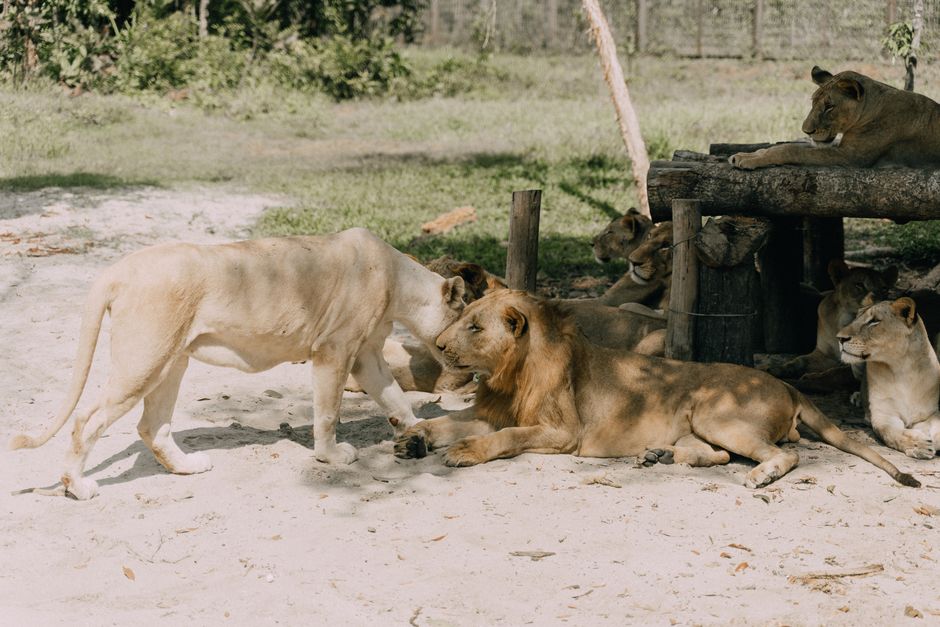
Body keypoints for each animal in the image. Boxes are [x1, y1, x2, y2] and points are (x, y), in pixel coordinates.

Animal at [10, 228, 466, 500]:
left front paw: (418, 430)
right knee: (87, 420)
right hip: (144, 360)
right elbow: (328, 412)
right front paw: (331, 456)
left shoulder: (366, 354)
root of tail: (115, 269)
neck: (399, 283)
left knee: (152, 426)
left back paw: (188, 468)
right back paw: (78, 486)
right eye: (468, 317)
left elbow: (395, 399)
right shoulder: (335, 350)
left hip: (171, 362)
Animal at [394, 290, 919, 489]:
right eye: (463, 317)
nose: (439, 344)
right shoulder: (495, 411)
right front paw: (411, 439)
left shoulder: (563, 433)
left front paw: (463, 452)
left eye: (475, 327)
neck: (511, 373)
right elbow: (448, 419)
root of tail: (790, 389)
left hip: (714, 411)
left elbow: (504, 438)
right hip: (701, 424)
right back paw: (659, 455)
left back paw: (760, 476)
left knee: (785, 455)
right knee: (719, 455)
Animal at [731, 65, 940, 169]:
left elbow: (791, 150)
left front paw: (748, 161)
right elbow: (784, 145)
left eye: (829, 107)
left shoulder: (850, 157)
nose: (806, 130)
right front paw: (745, 155)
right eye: (813, 102)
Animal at [766, 260, 897, 379]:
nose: (881, 304)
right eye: (859, 285)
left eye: (884, 288)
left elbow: (836, 373)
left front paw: (810, 378)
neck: (845, 322)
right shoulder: (825, 355)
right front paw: (776, 369)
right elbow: (800, 360)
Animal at [838, 297, 940, 459]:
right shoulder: (884, 415)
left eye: (874, 321)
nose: (840, 338)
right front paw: (918, 445)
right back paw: (857, 397)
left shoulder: (930, 414)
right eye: (856, 318)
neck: (902, 368)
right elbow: (893, 433)